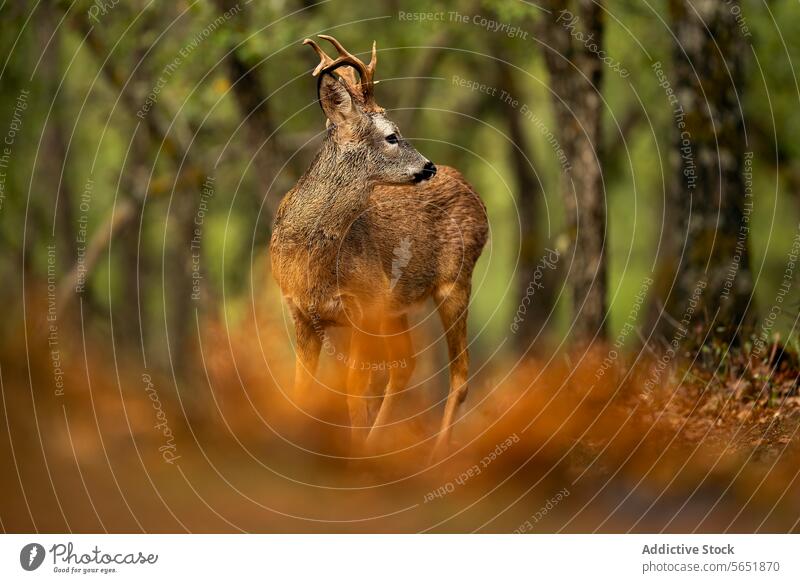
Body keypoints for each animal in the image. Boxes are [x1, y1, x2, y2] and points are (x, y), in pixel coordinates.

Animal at [270, 36, 488, 460]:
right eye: (392, 135)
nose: (428, 166)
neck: (311, 261)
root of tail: (474, 192)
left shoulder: (364, 305)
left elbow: (355, 391)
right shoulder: (301, 313)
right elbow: (301, 391)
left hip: (455, 282)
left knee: (460, 375)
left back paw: (435, 454)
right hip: (396, 304)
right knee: (406, 366)